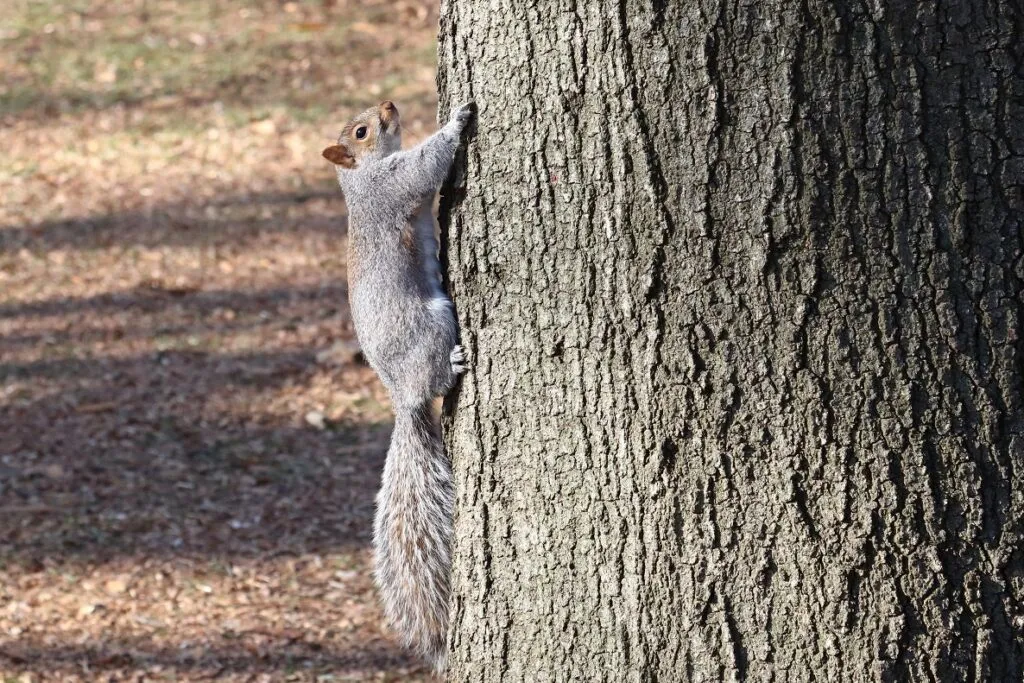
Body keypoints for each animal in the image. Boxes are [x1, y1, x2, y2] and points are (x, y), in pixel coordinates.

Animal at [321, 100, 473, 671]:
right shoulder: (392, 186)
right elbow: (423, 167)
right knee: (436, 373)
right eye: (362, 131)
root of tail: (401, 397)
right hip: (431, 324)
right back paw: (454, 361)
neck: (360, 177)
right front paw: (456, 122)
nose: (390, 105)